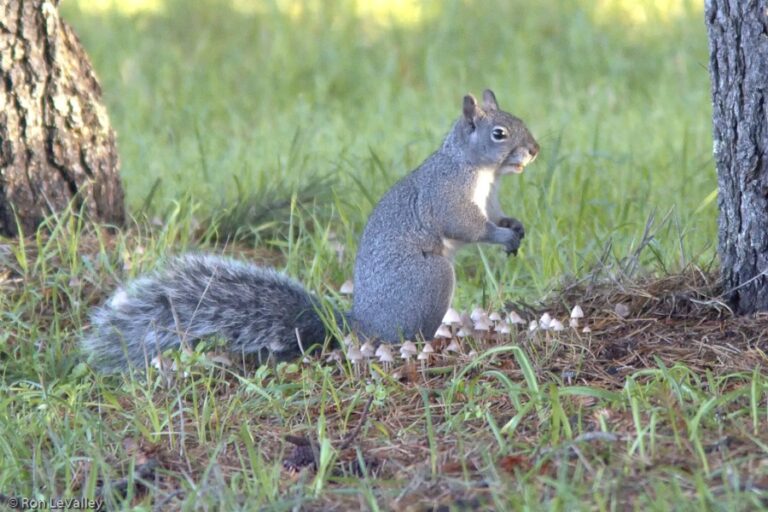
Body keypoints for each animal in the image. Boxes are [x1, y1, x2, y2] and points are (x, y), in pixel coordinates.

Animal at [82, 90, 540, 372]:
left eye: (520, 119)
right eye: (499, 133)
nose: (534, 150)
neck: (479, 171)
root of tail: (359, 325)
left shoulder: (491, 199)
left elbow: (496, 215)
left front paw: (514, 227)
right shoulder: (448, 195)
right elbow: (466, 225)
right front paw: (501, 237)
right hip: (429, 279)